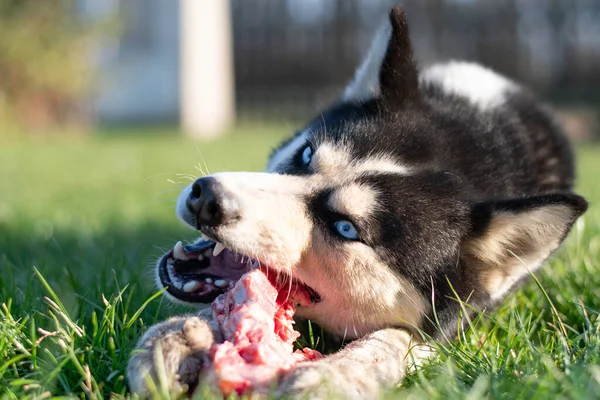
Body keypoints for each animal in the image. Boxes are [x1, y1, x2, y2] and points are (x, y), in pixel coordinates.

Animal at [127, 7, 584, 400]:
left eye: (346, 228)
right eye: (306, 155)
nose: (207, 198)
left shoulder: (444, 329)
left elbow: (393, 340)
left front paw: (335, 376)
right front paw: (180, 334)